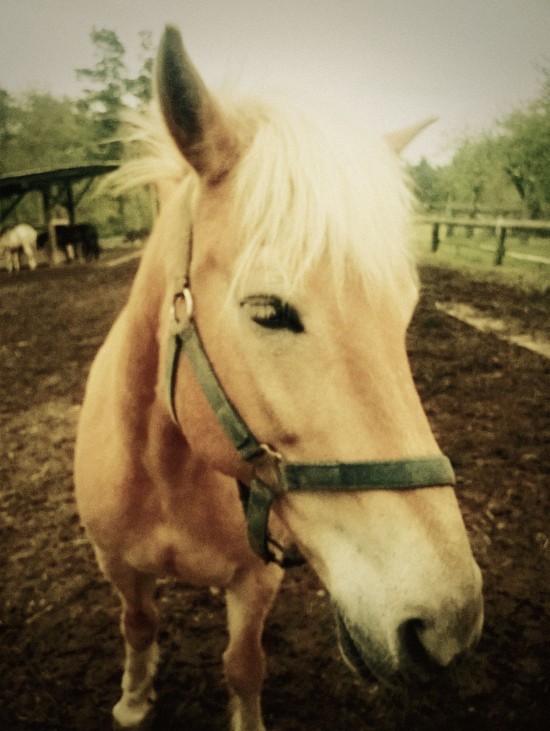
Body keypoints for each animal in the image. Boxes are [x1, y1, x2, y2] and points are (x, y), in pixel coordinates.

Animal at [73, 25, 484, 728]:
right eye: (268, 311)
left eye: (406, 311)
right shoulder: (117, 565)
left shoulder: (256, 578)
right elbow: (138, 624)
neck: (166, 477)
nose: (446, 626)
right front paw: (133, 700)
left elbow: (243, 665)